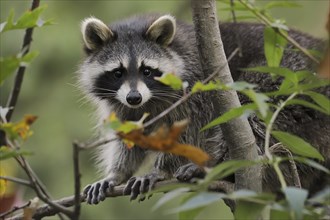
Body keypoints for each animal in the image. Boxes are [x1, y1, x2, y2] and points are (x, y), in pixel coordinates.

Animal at [80, 13, 330, 205]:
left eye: (147, 71)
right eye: (118, 73)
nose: (134, 97)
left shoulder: (197, 87)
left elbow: (191, 129)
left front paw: (162, 169)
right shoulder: (125, 106)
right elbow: (130, 137)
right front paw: (117, 173)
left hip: (290, 80)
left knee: (253, 109)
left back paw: (215, 164)